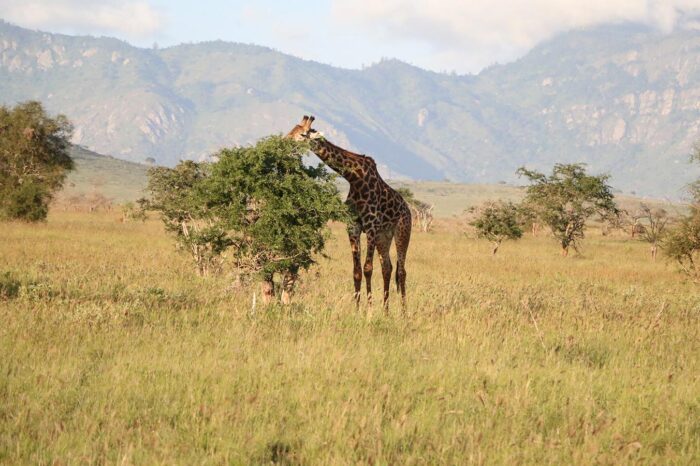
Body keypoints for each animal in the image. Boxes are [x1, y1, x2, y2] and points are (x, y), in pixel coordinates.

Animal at [286, 115, 411, 311]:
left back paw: (404, 313)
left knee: (401, 271)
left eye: (302, 135)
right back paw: (386, 311)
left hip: (402, 232)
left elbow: (368, 268)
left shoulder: (371, 226)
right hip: (384, 236)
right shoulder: (353, 226)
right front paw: (357, 309)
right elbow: (357, 271)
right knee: (387, 268)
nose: (283, 142)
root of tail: (408, 210)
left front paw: (369, 311)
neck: (354, 178)